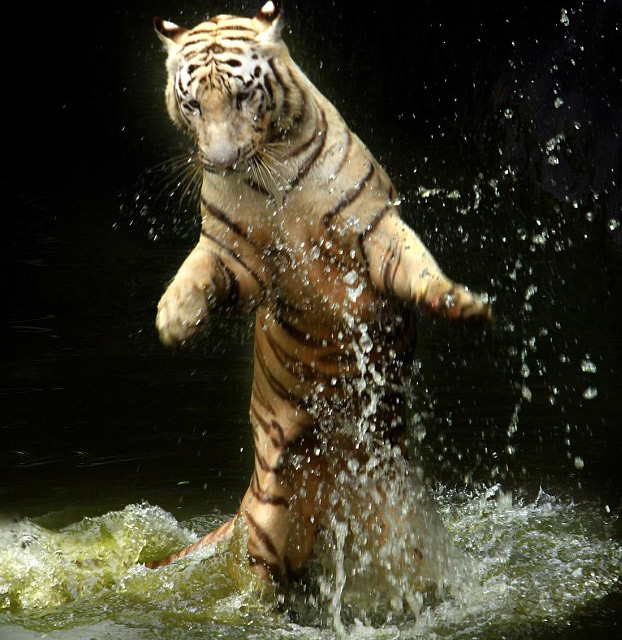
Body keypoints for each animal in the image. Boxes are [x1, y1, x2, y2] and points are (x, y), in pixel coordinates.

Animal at [146, 0, 492, 585]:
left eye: (242, 96)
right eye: (192, 104)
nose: (220, 161)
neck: (271, 174)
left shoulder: (373, 228)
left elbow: (416, 264)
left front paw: (459, 301)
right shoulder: (234, 256)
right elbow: (195, 271)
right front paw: (173, 319)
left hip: (404, 523)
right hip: (270, 530)